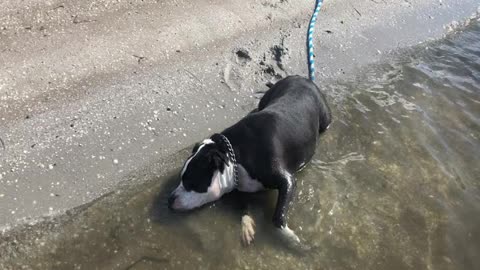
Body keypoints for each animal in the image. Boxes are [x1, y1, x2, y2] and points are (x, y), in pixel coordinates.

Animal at [168, 75, 330, 247]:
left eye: (191, 182)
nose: (169, 199)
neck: (235, 154)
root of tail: (300, 77)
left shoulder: (287, 181)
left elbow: (278, 216)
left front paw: (290, 237)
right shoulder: (240, 184)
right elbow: (244, 205)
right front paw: (246, 226)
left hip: (325, 119)